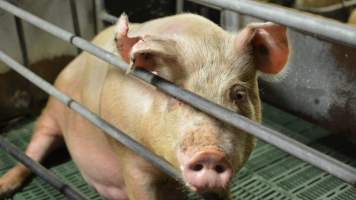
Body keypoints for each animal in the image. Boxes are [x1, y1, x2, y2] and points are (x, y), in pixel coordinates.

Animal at [0, 13, 290, 199]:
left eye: (238, 94)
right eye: (176, 95)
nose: (210, 154)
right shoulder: (129, 157)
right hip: (51, 111)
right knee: (34, 149)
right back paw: (6, 186)